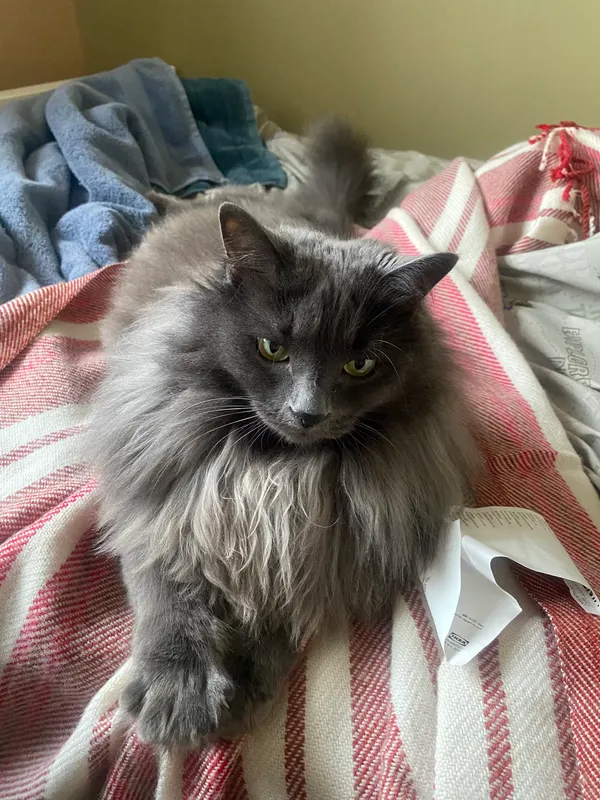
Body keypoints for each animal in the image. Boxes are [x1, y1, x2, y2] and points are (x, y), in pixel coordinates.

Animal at [92, 115, 478, 748]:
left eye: (359, 365)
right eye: (273, 349)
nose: (308, 412)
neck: (276, 465)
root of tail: (303, 212)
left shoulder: (310, 549)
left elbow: (276, 603)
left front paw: (247, 680)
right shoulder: (162, 506)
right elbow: (169, 594)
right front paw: (180, 691)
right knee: (199, 195)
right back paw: (146, 193)